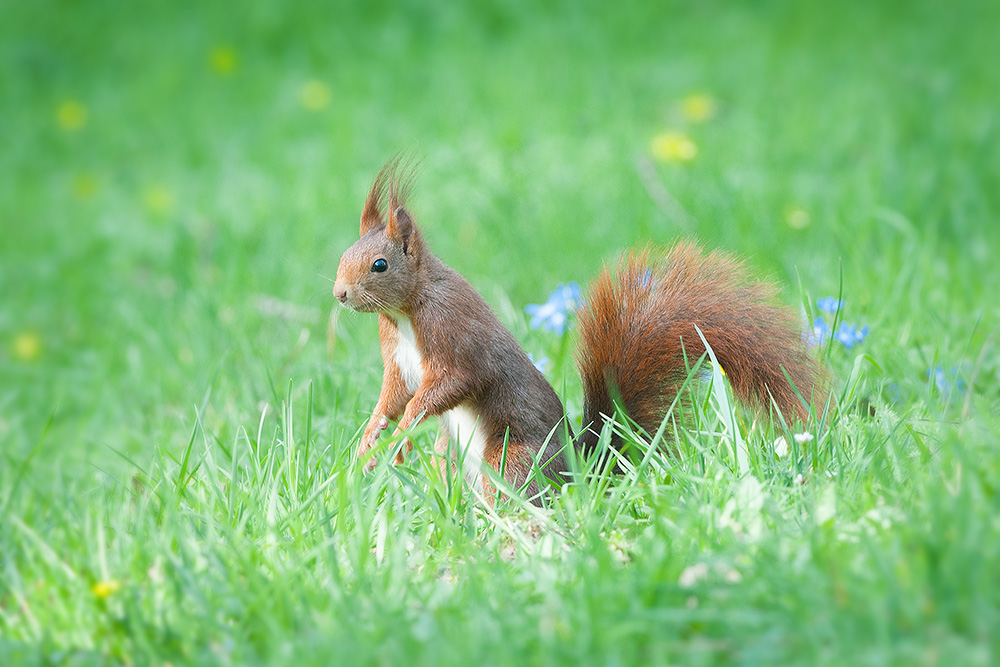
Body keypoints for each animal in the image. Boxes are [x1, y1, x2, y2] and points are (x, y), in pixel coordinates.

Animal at [334, 158, 820, 500]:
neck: (407, 311)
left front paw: (400, 434)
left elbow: (448, 385)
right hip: (453, 455)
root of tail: (580, 474)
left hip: (512, 457)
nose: (339, 294)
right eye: (343, 255)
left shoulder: (454, 333)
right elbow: (393, 394)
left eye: (380, 265)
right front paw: (370, 441)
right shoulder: (397, 357)